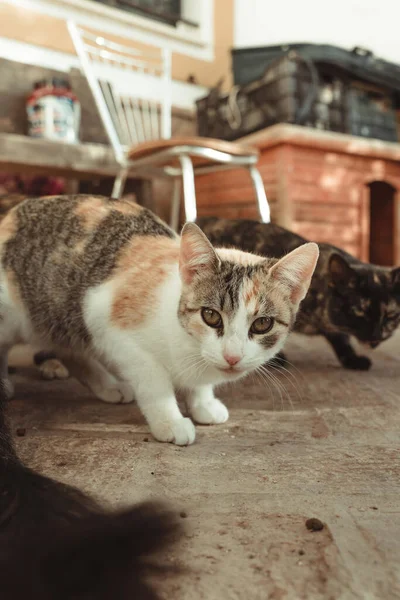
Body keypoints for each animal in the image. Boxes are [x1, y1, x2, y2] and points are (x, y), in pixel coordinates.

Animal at [0, 195, 318, 442]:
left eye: (262, 324)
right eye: (211, 316)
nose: (232, 357)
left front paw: (203, 401)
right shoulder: (107, 324)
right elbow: (154, 380)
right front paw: (170, 421)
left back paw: (108, 386)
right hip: (21, 314)